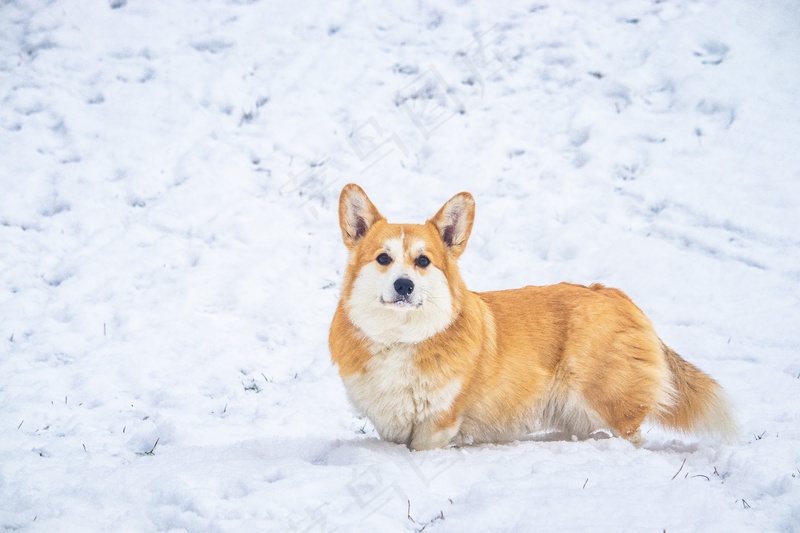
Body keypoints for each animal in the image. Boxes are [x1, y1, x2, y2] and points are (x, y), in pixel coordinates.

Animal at [326, 183, 736, 448]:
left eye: (423, 261)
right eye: (383, 258)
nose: (404, 285)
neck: (401, 338)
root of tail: (614, 295)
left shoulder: (437, 425)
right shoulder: (390, 426)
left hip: (605, 398)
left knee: (629, 437)